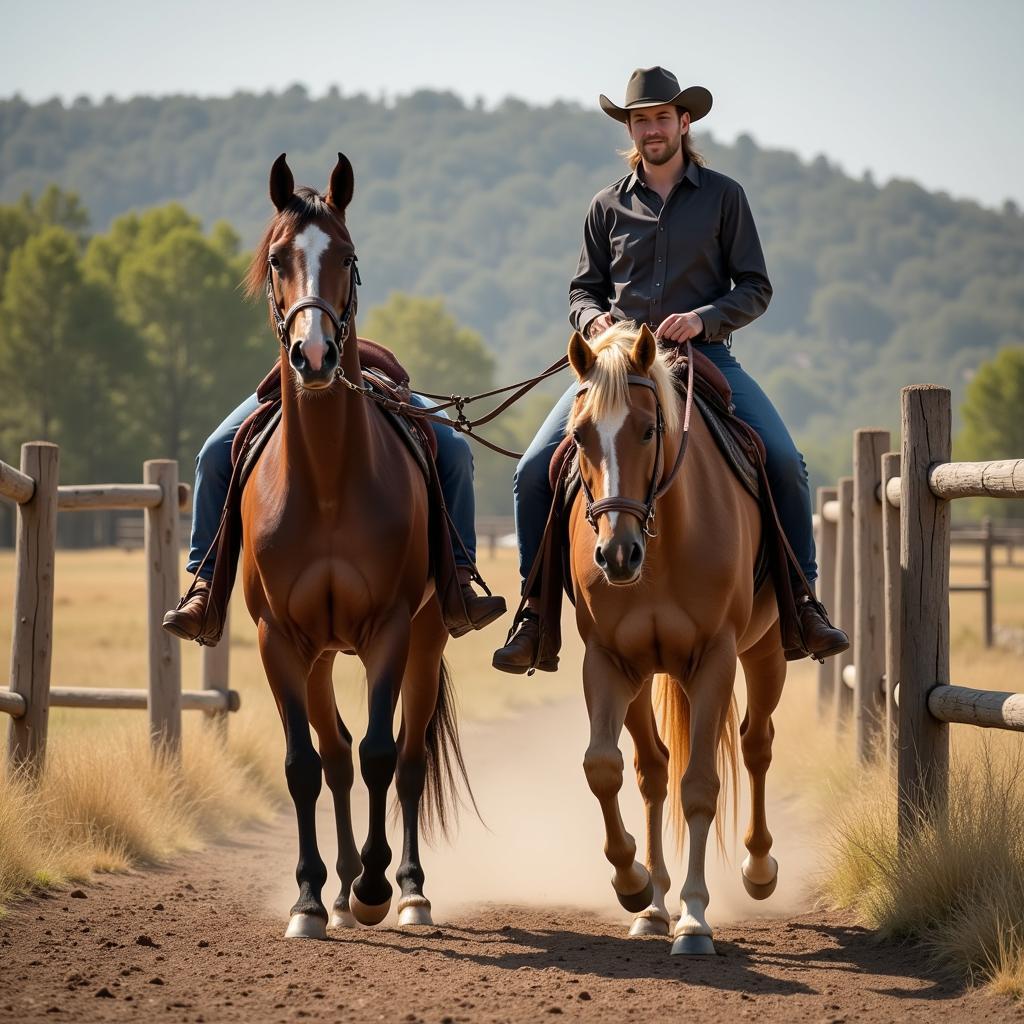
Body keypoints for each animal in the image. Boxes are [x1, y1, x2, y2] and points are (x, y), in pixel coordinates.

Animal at [239, 151, 468, 937]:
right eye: (278, 258)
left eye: (347, 257)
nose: (313, 354)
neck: (328, 483)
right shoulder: (278, 638)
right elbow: (305, 764)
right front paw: (311, 898)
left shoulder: (391, 629)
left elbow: (379, 753)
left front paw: (374, 886)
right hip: (314, 656)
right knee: (332, 755)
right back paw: (335, 893)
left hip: (427, 636)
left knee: (408, 757)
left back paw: (409, 890)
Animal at [565, 323, 786, 954]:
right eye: (580, 434)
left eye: (647, 428)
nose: (617, 555)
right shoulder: (610, 661)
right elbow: (606, 767)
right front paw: (635, 884)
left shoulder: (715, 659)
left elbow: (701, 786)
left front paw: (694, 918)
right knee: (653, 769)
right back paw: (652, 906)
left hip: (766, 652)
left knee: (756, 744)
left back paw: (758, 868)